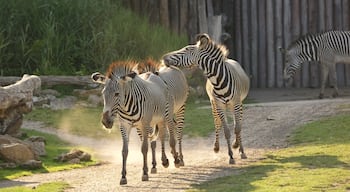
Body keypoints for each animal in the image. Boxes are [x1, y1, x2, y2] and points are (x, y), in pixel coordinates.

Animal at [163, 33, 250, 164]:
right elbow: (226, 131)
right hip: (214, 105)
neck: (218, 80)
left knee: (238, 123)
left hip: (238, 104)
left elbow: (237, 128)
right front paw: (230, 156)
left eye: (186, 49)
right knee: (217, 123)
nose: (164, 57)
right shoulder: (218, 104)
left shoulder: (236, 103)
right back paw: (217, 147)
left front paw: (240, 149)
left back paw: (239, 146)